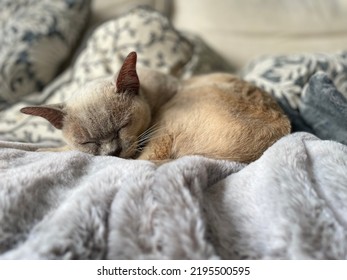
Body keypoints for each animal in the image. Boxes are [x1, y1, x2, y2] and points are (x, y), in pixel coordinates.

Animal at [19, 51, 290, 163]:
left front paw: (41, 150)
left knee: (146, 162)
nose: (113, 152)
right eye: (89, 141)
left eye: (123, 126)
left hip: (166, 127)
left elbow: (61, 149)